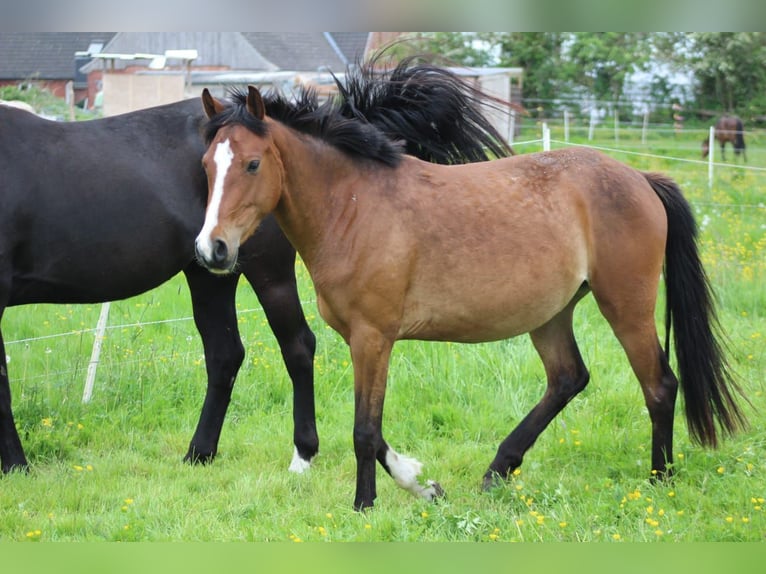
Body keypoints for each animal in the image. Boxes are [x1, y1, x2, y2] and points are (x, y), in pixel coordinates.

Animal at [0, 54, 510, 477]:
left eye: (250, 165)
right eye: (206, 167)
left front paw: (15, 467)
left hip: (266, 273)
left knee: (297, 346)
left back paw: (301, 454)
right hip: (210, 274)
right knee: (225, 355)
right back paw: (199, 453)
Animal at [194, 84, 747, 511]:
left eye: (251, 164)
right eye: (206, 166)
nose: (211, 249)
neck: (353, 206)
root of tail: (642, 180)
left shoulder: (373, 339)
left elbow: (364, 430)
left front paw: (364, 504)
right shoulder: (364, 341)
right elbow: (375, 433)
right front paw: (424, 486)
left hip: (626, 308)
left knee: (659, 385)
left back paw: (660, 479)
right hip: (551, 315)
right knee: (568, 379)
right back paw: (498, 470)